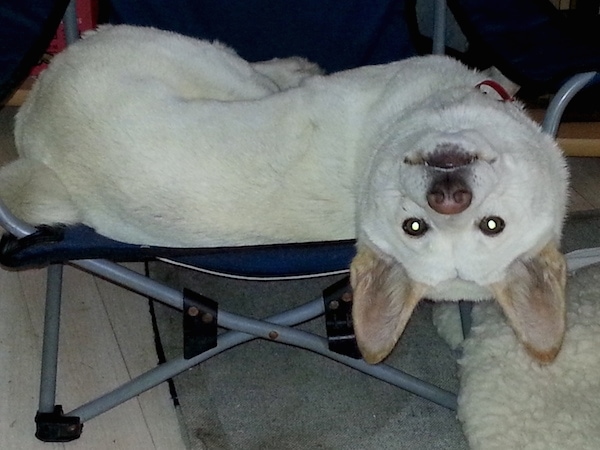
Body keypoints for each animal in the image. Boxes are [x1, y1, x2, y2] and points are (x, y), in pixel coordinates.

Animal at [1, 26, 568, 366]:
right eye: (415, 227)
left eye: (491, 225)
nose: (447, 196)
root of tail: (34, 138)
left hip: (207, 65)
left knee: (256, 74)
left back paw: (291, 68)